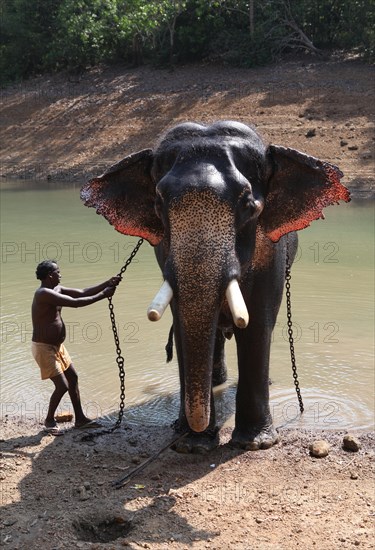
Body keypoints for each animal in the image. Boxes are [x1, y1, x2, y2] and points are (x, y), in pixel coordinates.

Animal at [81, 123, 352, 454]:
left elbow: (257, 324)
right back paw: (216, 382)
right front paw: (192, 444)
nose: (191, 430)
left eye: (248, 204)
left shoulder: (270, 253)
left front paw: (255, 444)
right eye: (158, 203)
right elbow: (182, 322)